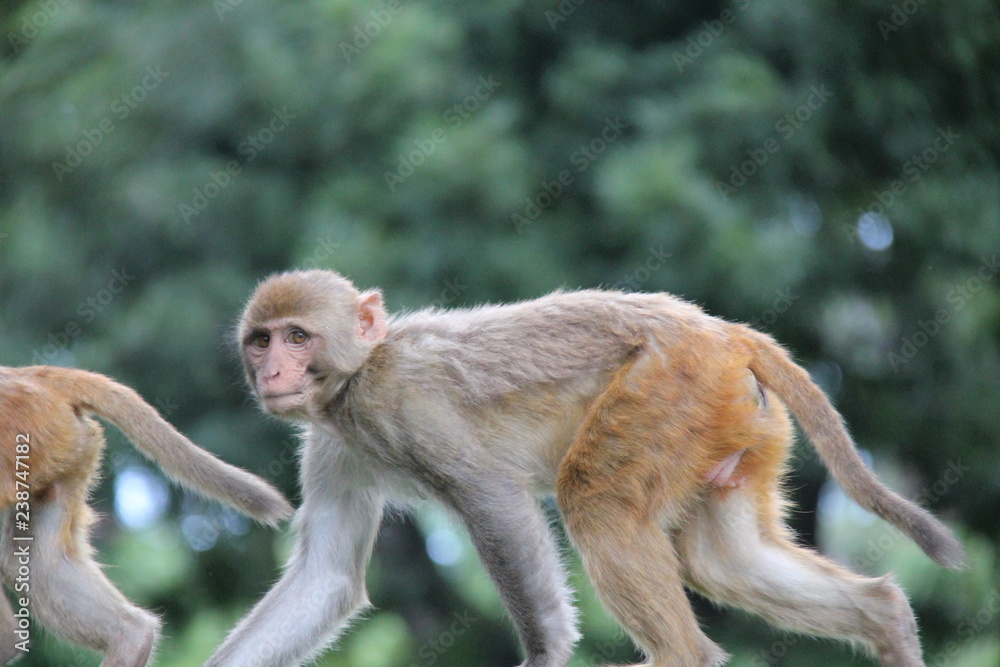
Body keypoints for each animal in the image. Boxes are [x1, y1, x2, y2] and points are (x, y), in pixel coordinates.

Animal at [207, 269, 965, 667]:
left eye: (298, 337)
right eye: (260, 341)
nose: (271, 372)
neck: (357, 378)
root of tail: (721, 331)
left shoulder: (410, 405)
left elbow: (496, 503)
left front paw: (545, 655)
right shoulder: (331, 444)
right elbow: (328, 577)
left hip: (666, 391)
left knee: (596, 504)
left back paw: (682, 653)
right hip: (737, 426)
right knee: (724, 558)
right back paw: (884, 617)